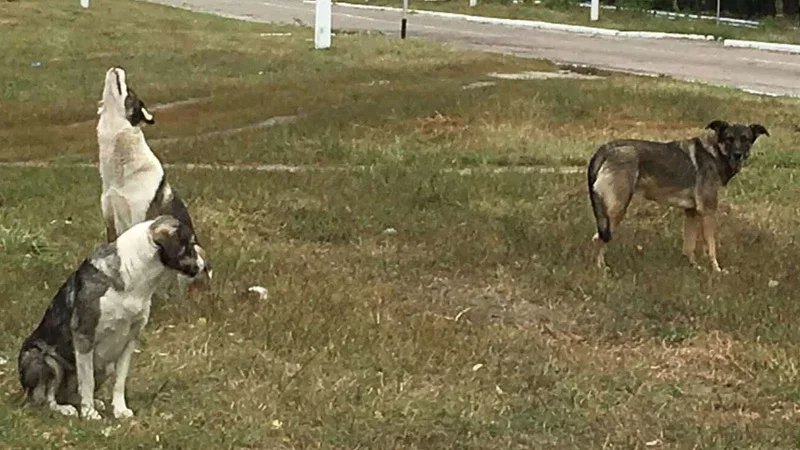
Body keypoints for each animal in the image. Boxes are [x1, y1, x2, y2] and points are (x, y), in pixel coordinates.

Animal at [17, 216, 205, 420]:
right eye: (190, 244)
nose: (204, 265)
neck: (135, 278)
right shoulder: (84, 336)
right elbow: (87, 381)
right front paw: (89, 413)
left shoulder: (130, 339)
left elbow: (120, 380)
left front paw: (119, 410)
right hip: (45, 360)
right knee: (45, 398)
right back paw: (66, 409)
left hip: (103, 366)